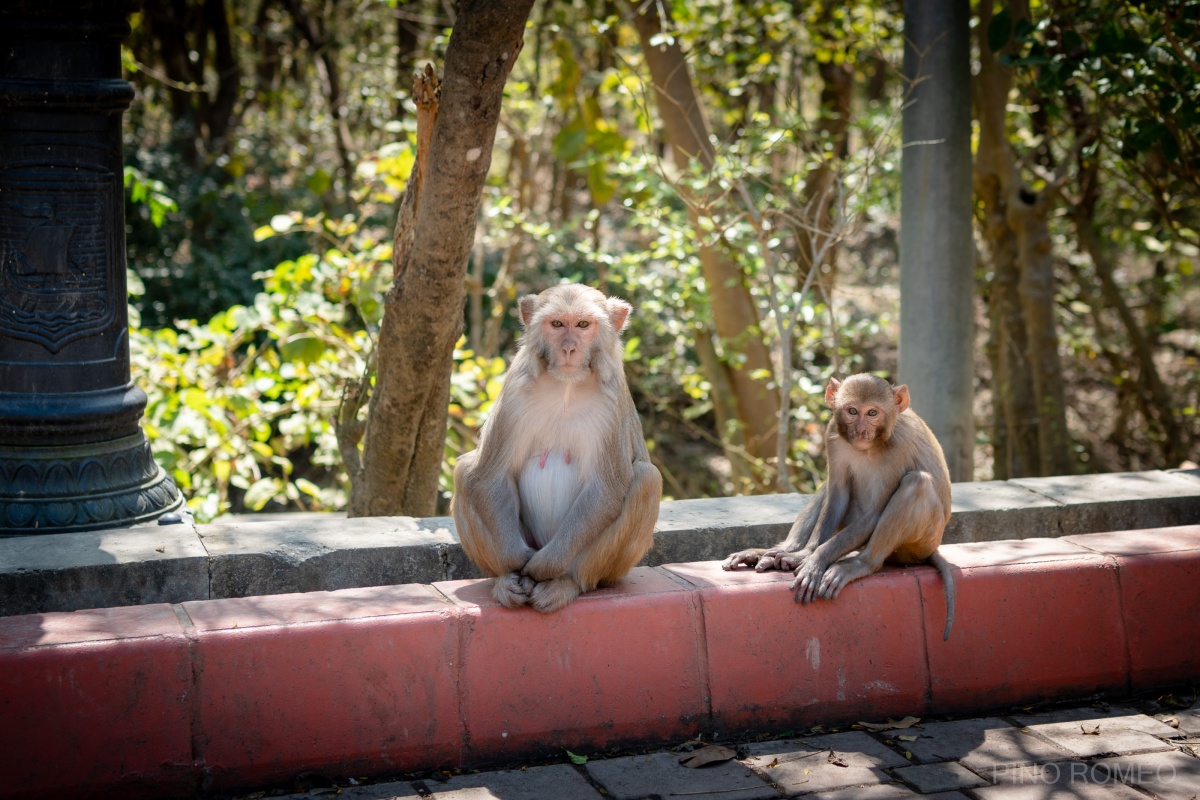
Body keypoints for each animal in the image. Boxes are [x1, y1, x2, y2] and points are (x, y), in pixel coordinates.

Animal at [451, 284, 662, 618]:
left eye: (583, 325)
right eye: (557, 324)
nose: (569, 349)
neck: (567, 386)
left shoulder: (612, 399)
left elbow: (606, 489)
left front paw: (543, 567)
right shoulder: (515, 389)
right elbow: (488, 475)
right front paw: (516, 562)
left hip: (610, 571)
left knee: (646, 478)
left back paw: (567, 582)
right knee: (465, 472)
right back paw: (504, 580)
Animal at [720, 371, 955, 642]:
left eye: (872, 413)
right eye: (852, 411)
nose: (861, 431)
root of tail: (931, 548)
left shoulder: (900, 444)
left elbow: (876, 511)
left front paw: (815, 560)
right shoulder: (833, 434)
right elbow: (836, 493)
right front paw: (801, 554)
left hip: (919, 542)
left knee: (917, 483)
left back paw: (860, 564)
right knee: (829, 488)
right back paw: (777, 551)